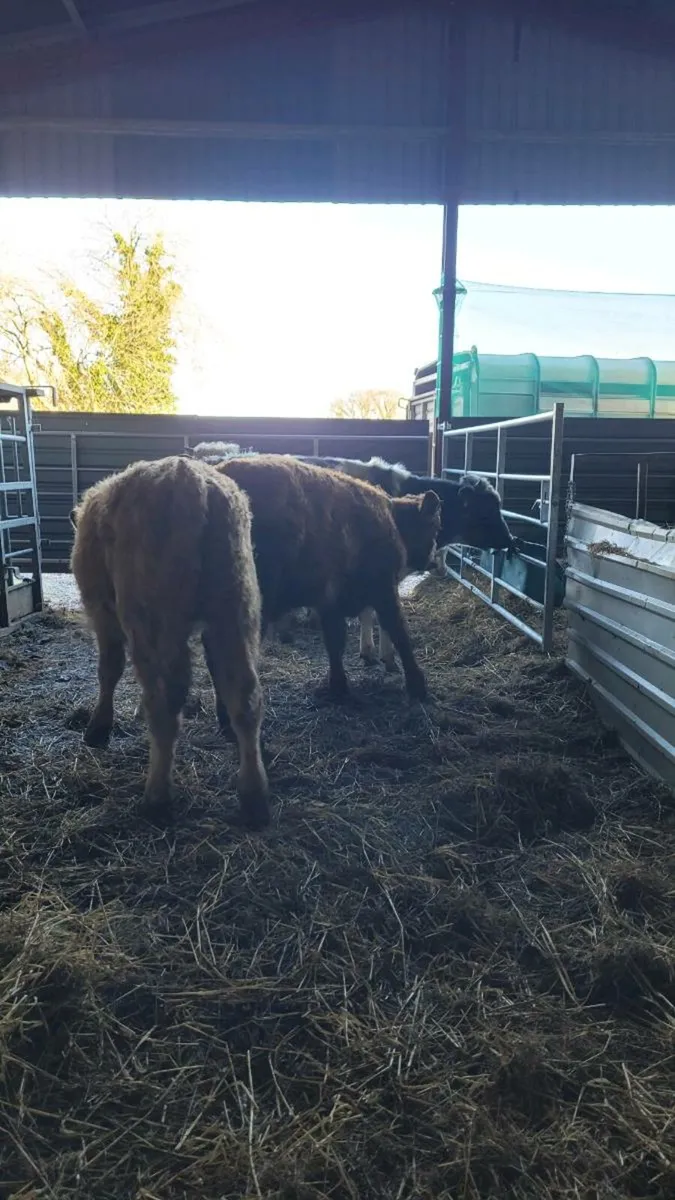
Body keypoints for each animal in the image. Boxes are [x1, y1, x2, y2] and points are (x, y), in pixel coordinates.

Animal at [69, 456, 269, 828]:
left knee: (164, 703)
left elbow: (109, 670)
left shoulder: (102, 612)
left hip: (153, 621)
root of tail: (190, 478)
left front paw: (99, 727)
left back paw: (157, 797)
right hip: (235, 609)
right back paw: (254, 796)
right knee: (246, 697)